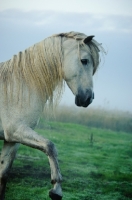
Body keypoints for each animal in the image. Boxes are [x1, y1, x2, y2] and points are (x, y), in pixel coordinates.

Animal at [0, 32, 105, 199]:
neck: (17, 88)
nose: (89, 98)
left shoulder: (12, 139)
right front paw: (56, 188)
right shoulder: (16, 130)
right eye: (84, 61)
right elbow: (50, 146)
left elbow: (3, 174)